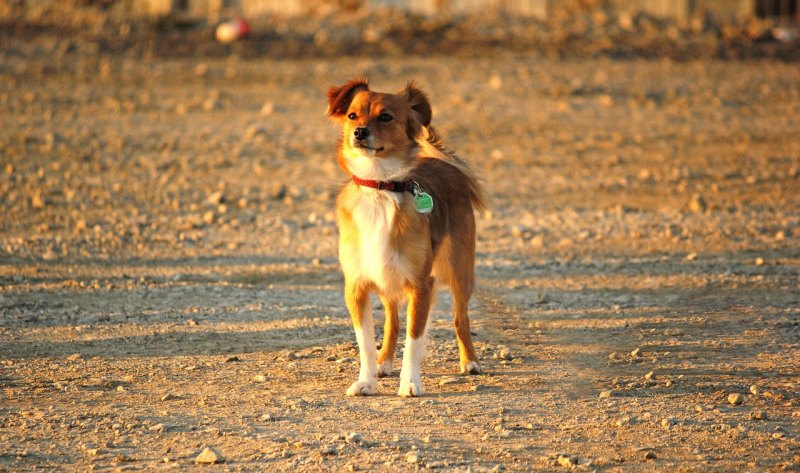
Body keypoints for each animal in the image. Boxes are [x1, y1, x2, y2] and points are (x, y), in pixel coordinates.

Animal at [326, 79, 488, 396]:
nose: (359, 132)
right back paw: (384, 362)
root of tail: (444, 165)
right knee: (393, 323)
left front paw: (410, 383)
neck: (379, 187)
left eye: (385, 117)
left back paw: (470, 361)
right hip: (387, 277)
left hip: (460, 270)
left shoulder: (421, 284)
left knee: (460, 317)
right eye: (352, 115)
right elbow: (366, 342)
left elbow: (414, 339)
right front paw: (367, 380)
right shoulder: (357, 287)